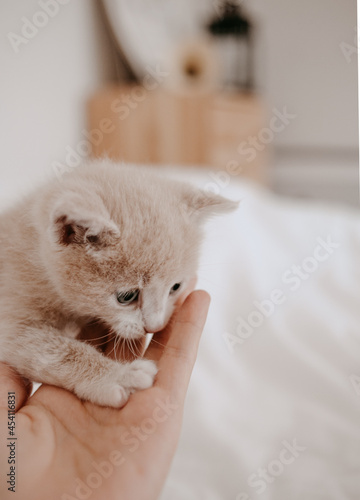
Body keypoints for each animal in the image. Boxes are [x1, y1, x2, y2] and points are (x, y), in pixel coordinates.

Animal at [0, 162, 236, 408]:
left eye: (175, 288)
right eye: (127, 297)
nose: (154, 326)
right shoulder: (11, 314)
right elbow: (56, 351)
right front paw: (118, 377)